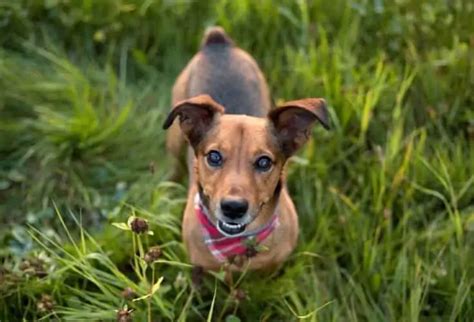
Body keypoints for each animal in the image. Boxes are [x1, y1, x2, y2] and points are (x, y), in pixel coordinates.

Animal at [163, 27, 330, 272]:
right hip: (175, 140)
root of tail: (217, 42)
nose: (233, 208)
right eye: (214, 156)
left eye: (264, 162)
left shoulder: (274, 267)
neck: (236, 245)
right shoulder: (199, 270)